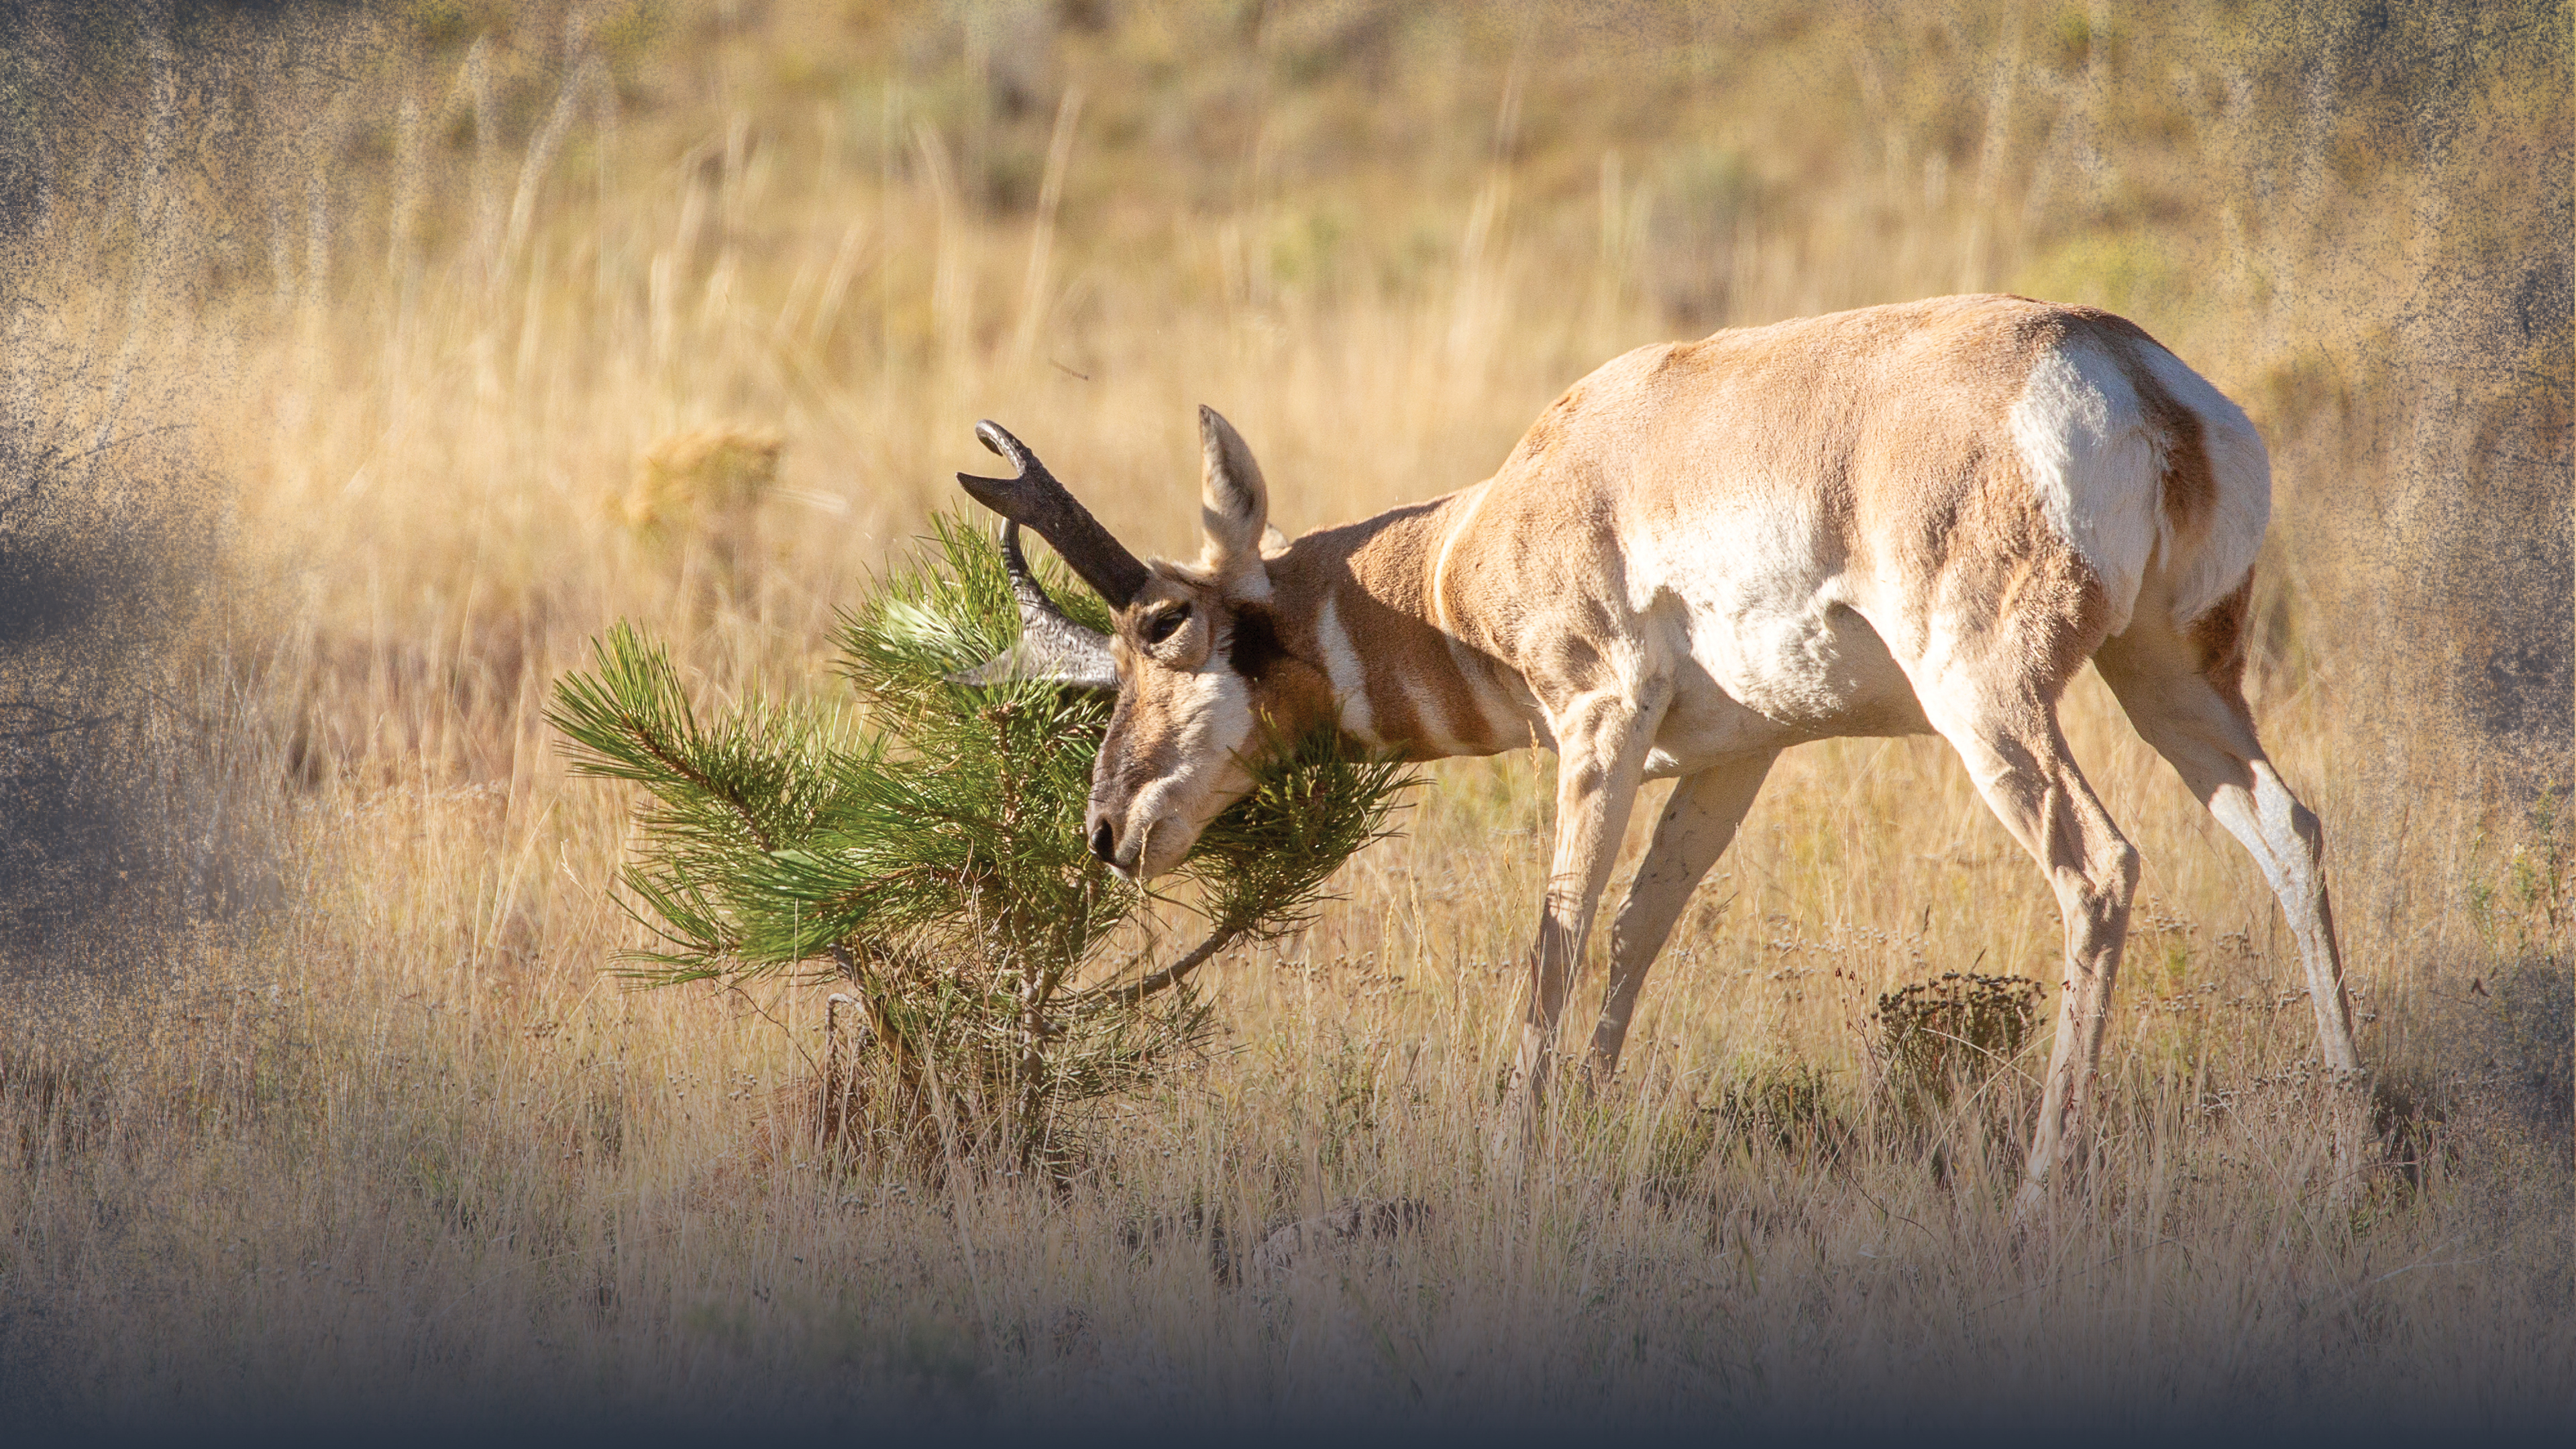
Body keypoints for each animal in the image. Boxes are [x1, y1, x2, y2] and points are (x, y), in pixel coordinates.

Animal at [958, 293, 2362, 1204]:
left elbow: (1561, 926)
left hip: (1993, 703)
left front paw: (1512, 1155)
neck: (1500, 515)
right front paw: (1581, 1121)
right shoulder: (1738, 761)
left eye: (1161, 627)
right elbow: (1642, 928)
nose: (1107, 831)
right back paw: (2361, 1153)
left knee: (2101, 869)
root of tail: (2123, 362)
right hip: (2172, 677)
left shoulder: (1602, 717)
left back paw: (2039, 1185)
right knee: (2289, 830)